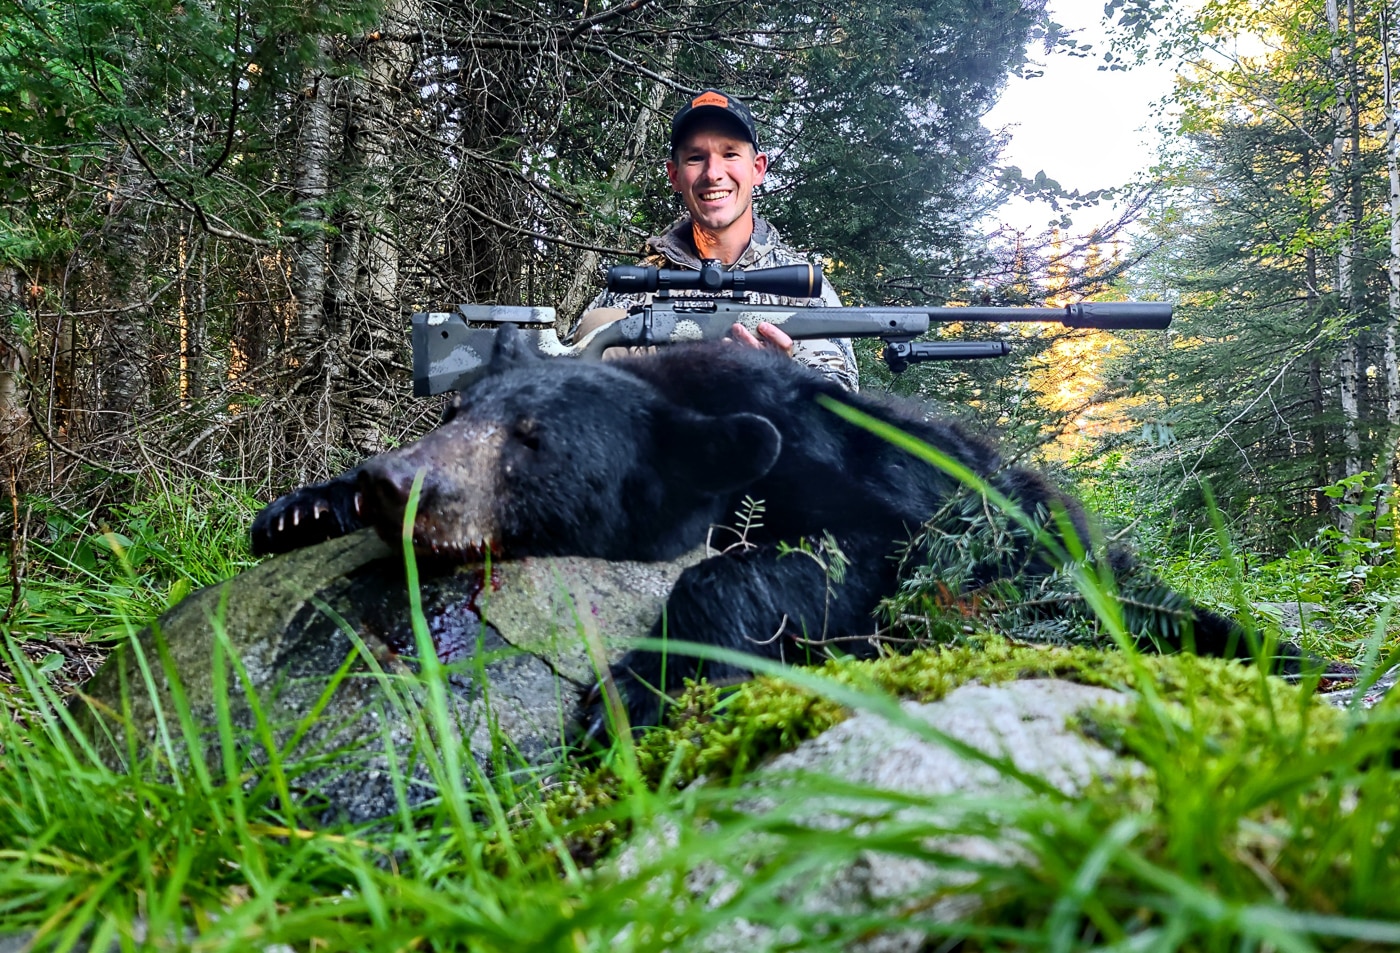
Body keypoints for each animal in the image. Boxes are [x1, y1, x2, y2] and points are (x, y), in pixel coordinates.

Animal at [251, 324, 1329, 735]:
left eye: (531, 440)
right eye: (453, 413)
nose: (399, 483)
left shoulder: (865, 487)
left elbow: (828, 561)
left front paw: (629, 695)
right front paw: (305, 501)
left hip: (1054, 555)